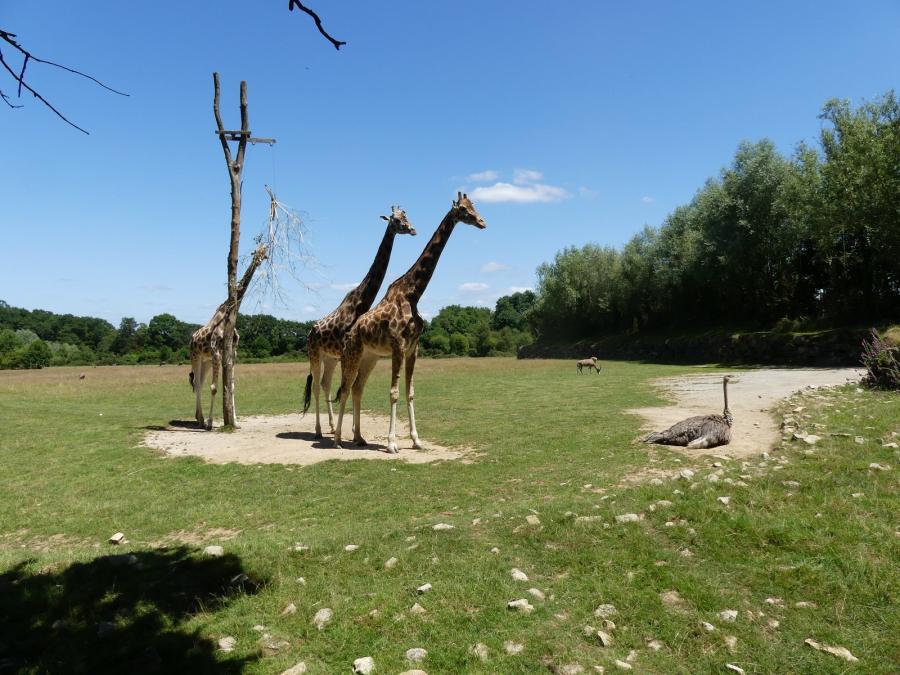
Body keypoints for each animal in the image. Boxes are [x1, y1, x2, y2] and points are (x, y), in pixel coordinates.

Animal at [190, 244, 266, 430]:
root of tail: (192, 338)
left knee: (199, 382)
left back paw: (199, 418)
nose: (261, 257)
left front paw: (235, 422)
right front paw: (211, 423)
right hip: (196, 357)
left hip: (206, 361)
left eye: (264, 250)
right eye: (257, 251)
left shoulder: (232, 352)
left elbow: (231, 385)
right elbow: (214, 387)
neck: (227, 315)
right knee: (197, 384)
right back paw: (202, 420)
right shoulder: (217, 352)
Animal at [303, 206, 416, 437]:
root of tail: (309, 332)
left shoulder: (352, 352)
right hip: (315, 354)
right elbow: (349, 386)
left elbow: (354, 386)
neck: (361, 302)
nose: (411, 229)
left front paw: (355, 430)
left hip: (330, 357)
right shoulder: (349, 351)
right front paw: (354, 431)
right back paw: (318, 430)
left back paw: (330, 426)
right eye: (396, 220)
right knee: (317, 386)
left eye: (406, 216)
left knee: (325, 383)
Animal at [333, 193, 487, 453]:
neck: (413, 293)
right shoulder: (398, 344)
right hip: (351, 355)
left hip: (369, 357)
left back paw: (359, 438)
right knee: (344, 389)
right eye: (464, 210)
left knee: (356, 388)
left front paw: (417, 440)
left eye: (474, 206)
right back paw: (336, 441)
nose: (482, 222)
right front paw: (392, 443)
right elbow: (394, 392)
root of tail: (348, 333)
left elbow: (410, 391)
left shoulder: (414, 346)